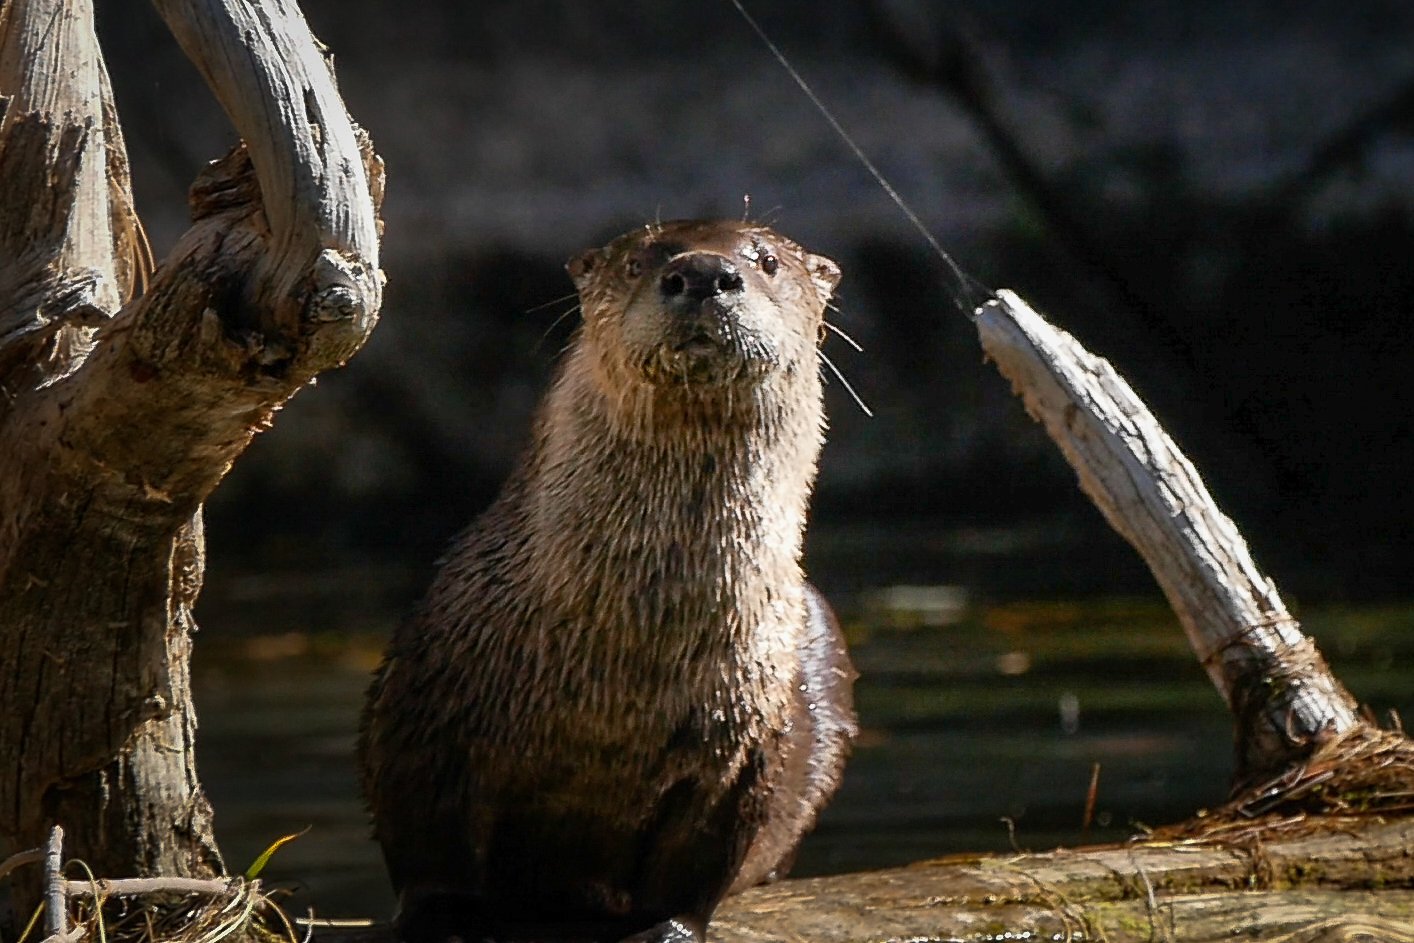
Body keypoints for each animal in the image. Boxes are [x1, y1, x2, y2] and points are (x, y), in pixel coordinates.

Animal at [359, 221, 854, 943]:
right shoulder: (430, 705)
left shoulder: (752, 736)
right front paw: (444, 919)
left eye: (767, 261)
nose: (704, 272)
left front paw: (668, 929)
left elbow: (703, 861)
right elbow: (427, 840)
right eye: (637, 262)